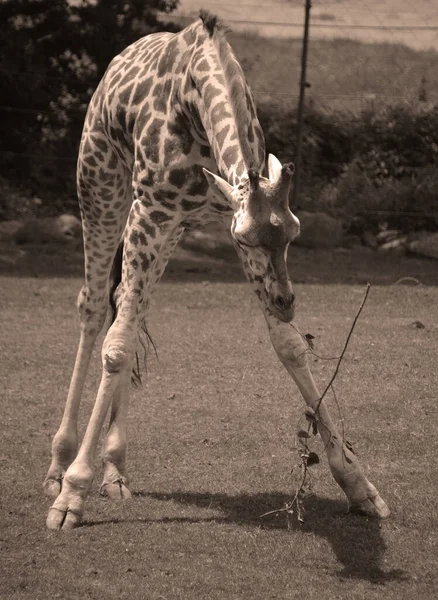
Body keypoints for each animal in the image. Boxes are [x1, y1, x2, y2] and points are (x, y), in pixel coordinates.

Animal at [42, 12, 388, 528]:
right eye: (244, 238)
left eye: (295, 234)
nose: (286, 302)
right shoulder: (155, 211)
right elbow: (116, 347)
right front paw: (72, 495)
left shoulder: (212, 214)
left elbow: (290, 347)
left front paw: (359, 485)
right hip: (102, 185)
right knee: (94, 307)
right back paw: (58, 467)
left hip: (171, 228)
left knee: (130, 307)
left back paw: (117, 472)